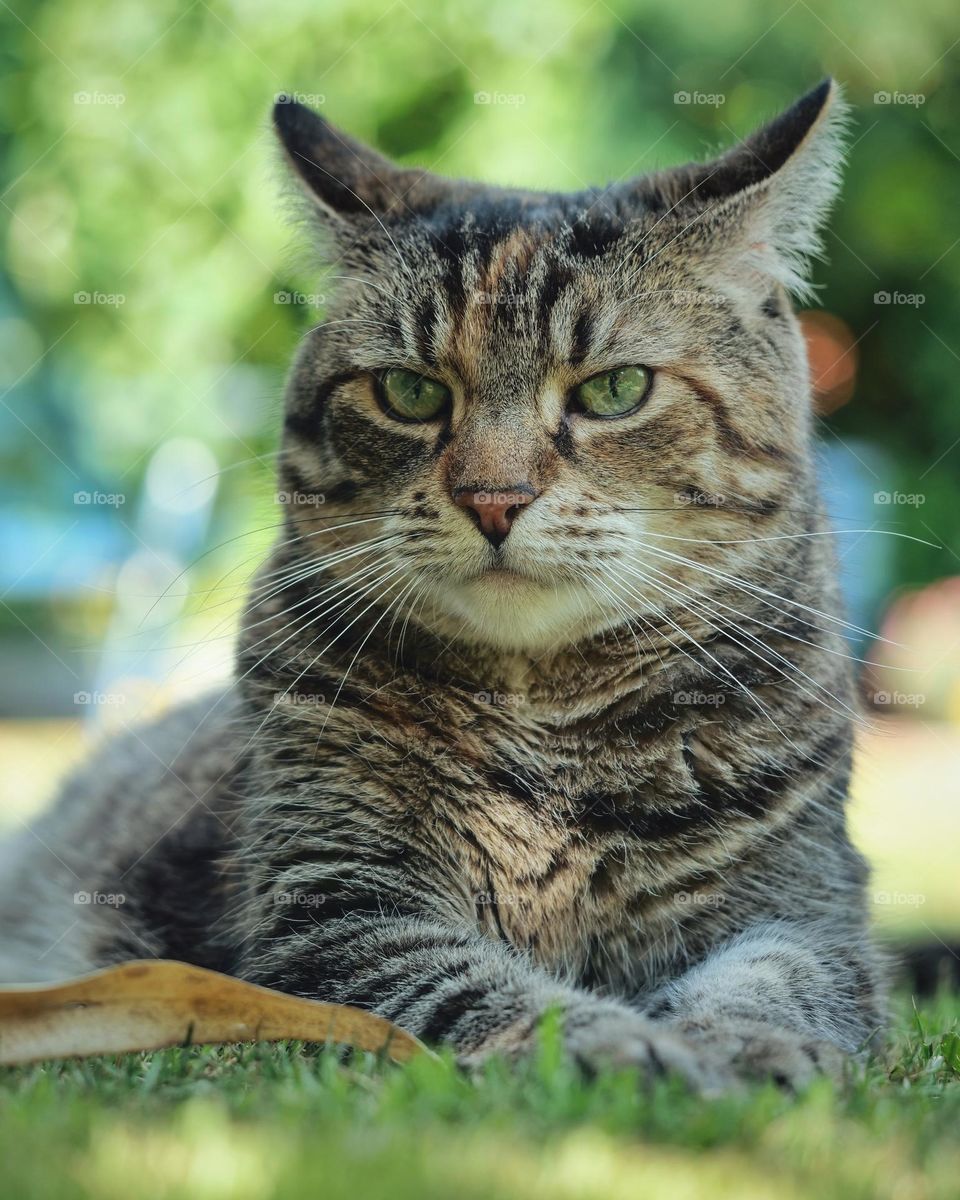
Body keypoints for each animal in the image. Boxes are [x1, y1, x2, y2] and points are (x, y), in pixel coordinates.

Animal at [0, 79, 883, 1094]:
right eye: (411, 393)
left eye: (615, 389)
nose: (494, 498)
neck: (549, 734)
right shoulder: (336, 906)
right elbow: (483, 988)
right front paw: (616, 1043)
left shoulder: (807, 901)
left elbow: (775, 977)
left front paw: (747, 1046)